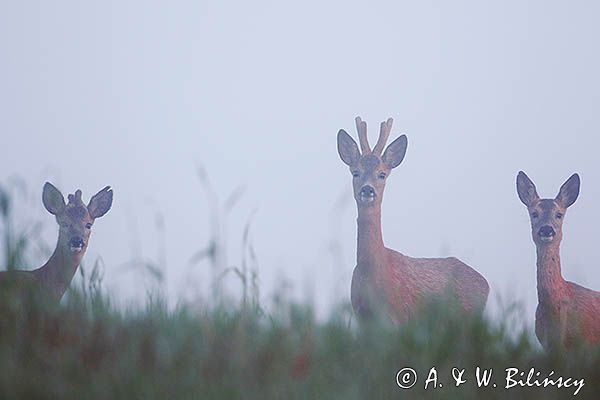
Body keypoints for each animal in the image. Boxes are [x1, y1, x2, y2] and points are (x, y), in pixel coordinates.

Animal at [336, 116, 490, 324]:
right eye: (356, 172)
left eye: (382, 174)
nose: (367, 189)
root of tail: (486, 284)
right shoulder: (361, 317)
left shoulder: (397, 316)